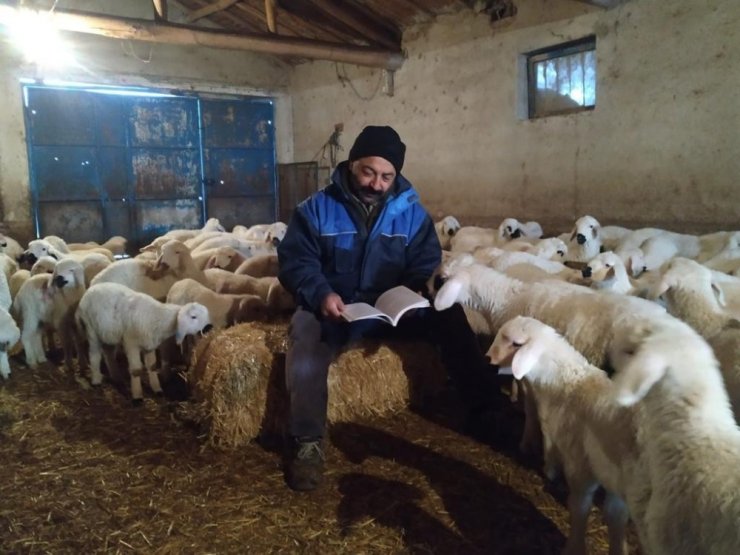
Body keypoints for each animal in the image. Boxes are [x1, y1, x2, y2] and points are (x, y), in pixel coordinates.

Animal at [76, 282, 211, 404]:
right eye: (193, 316)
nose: (208, 327)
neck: (157, 316)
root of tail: (90, 289)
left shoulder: (149, 345)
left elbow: (152, 366)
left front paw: (157, 389)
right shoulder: (131, 344)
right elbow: (136, 370)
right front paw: (137, 396)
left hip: (107, 332)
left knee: (108, 353)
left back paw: (116, 377)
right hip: (91, 329)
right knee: (94, 354)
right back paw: (96, 380)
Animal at [488, 318, 640, 555]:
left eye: (515, 343)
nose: (488, 358)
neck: (568, 383)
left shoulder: (578, 462)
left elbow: (579, 506)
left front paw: (574, 547)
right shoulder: (616, 479)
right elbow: (616, 515)